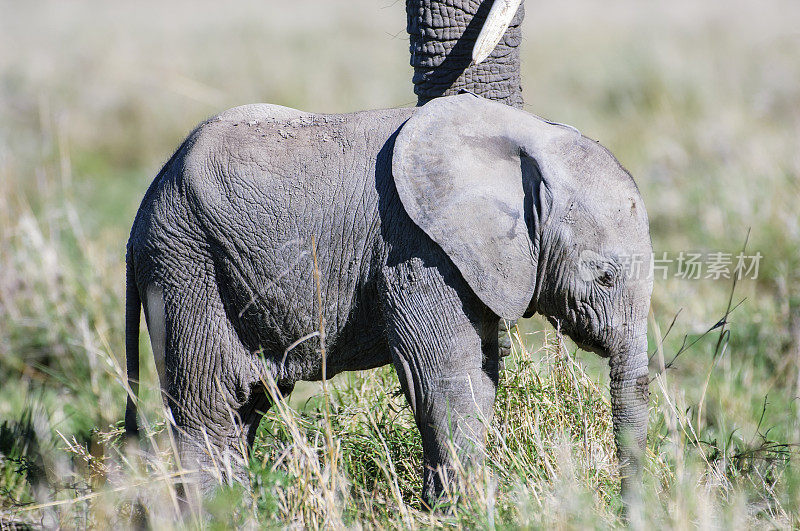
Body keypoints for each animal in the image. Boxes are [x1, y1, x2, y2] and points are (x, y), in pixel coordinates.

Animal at [123, 93, 648, 510]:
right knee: (209, 408)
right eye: (604, 277)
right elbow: (445, 376)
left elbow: (478, 375)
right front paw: (463, 512)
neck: (527, 135)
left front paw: (444, 508)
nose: (626, 511)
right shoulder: (418, 246)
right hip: (187, 265)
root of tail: (140, 214)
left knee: (245, 407)